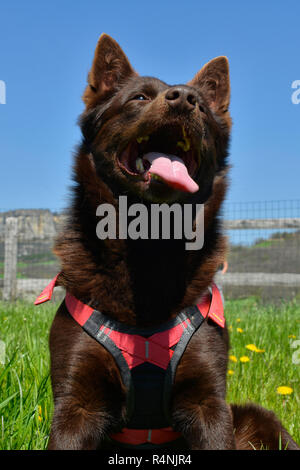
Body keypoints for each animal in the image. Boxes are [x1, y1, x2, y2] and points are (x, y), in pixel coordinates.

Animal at [45, 35, 298, 450]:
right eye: (139, 98)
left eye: (202, 108)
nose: (184, 100)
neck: (150, 246)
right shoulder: (76, 405)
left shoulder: (209, 404)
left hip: (260, 420)